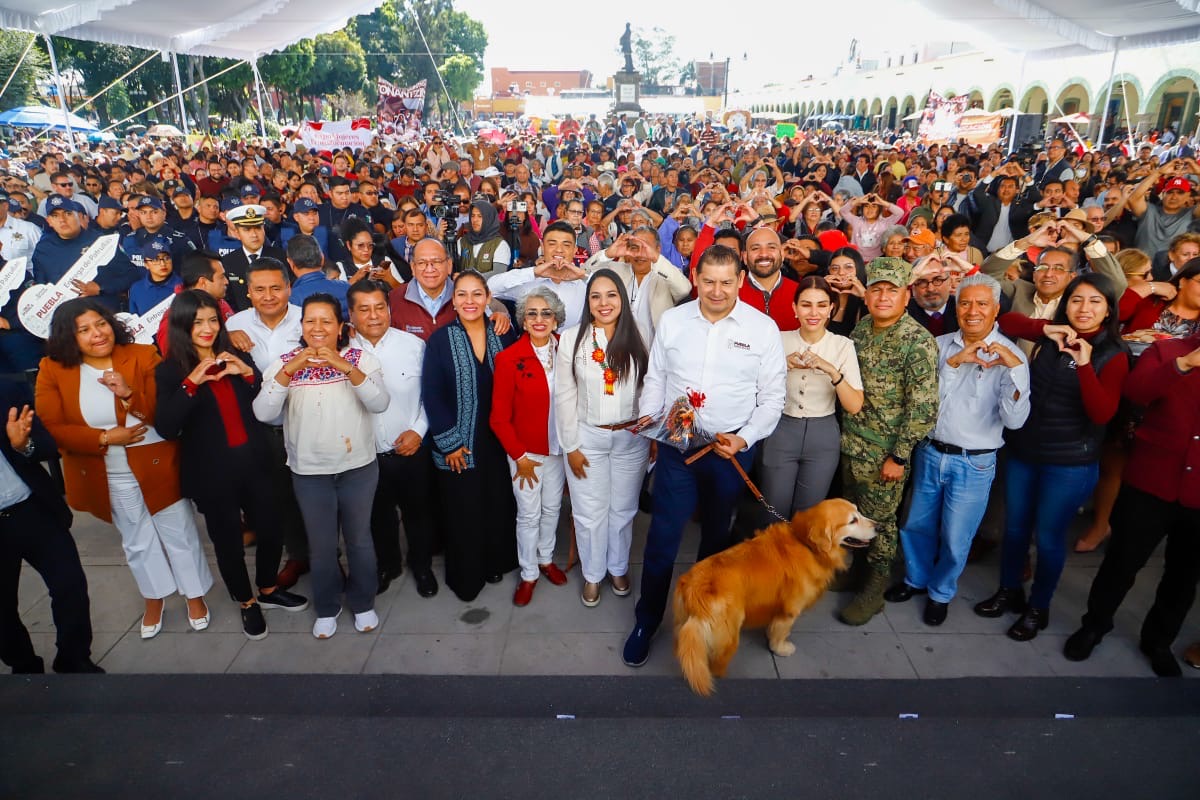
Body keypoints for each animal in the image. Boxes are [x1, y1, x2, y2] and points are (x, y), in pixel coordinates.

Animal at [672, 501, 878, 695]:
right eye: (852, 520)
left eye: (858, 511)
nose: (879, 526)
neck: (806, 543)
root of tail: (694, 592)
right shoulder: (790, 610)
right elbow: (781, 632)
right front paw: (781, 649)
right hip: (727, 639)